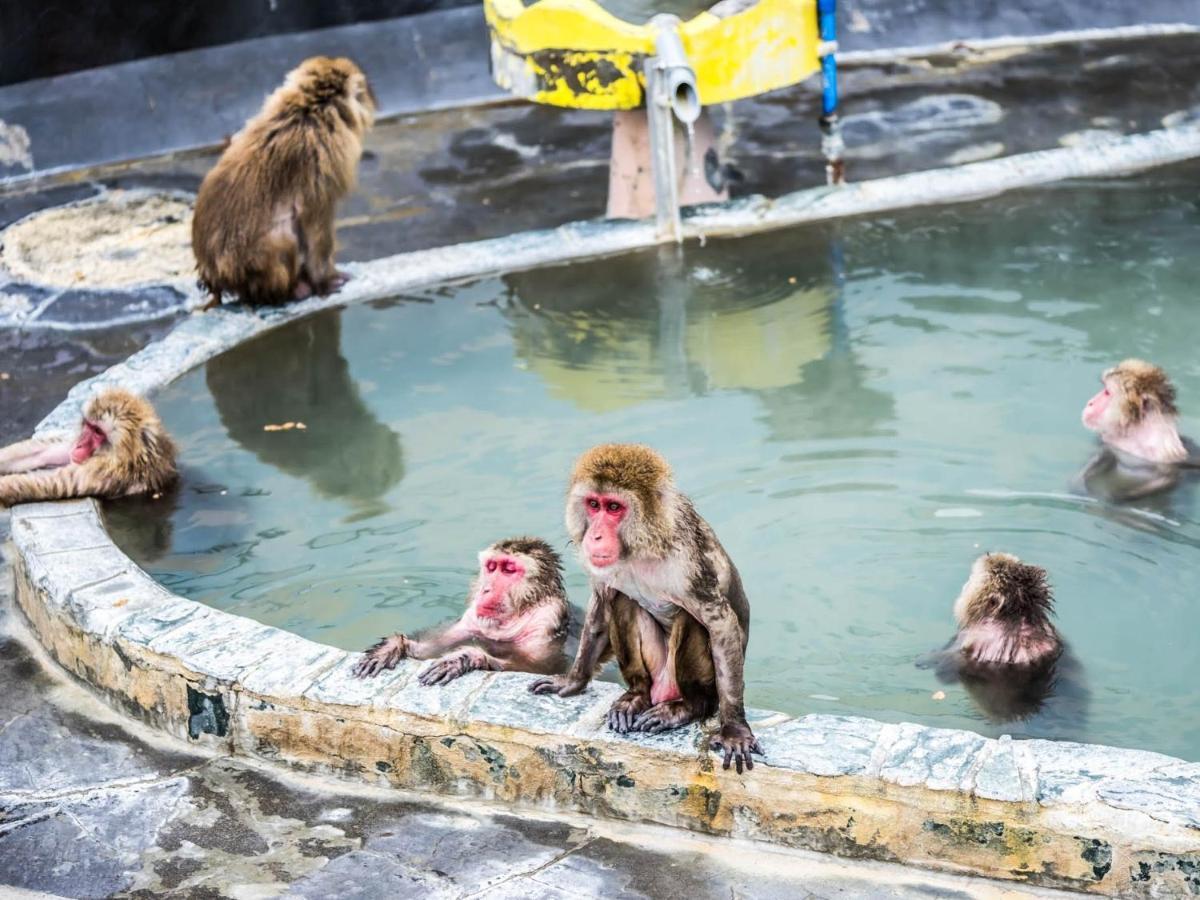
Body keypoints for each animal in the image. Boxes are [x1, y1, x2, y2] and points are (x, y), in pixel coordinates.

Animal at [0, 391, 177, 511]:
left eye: (98, 432)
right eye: (89, 425)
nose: (79, 445)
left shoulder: (106, 471)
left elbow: (54, 482)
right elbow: (43, 451)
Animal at [190, 58, 374, 309]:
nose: (370, 98)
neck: (309, 109)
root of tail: (214, 276)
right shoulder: (324, 158)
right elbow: (315, 219)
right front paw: (327, 279)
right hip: (256, 267)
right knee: (285, 236)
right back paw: (294, 290)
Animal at [350, 540, 571, 686]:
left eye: (508, 569)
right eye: (492, 567)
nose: (486, 589)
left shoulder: (546, 621)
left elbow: (539, 669)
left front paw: (464, 657)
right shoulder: (471, 619)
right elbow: (429, 649)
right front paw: (391, 646)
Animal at [530, 444, 763, 777]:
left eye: (614, 507)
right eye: (594, 505)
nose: (595, 535)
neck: (636, 548)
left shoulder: (686, 563)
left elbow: (720, 623)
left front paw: (734, 731)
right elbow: (601, 604)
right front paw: (573, 680)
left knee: (690, 620)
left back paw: (690, 707)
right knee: (623, 600)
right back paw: (637, 696)